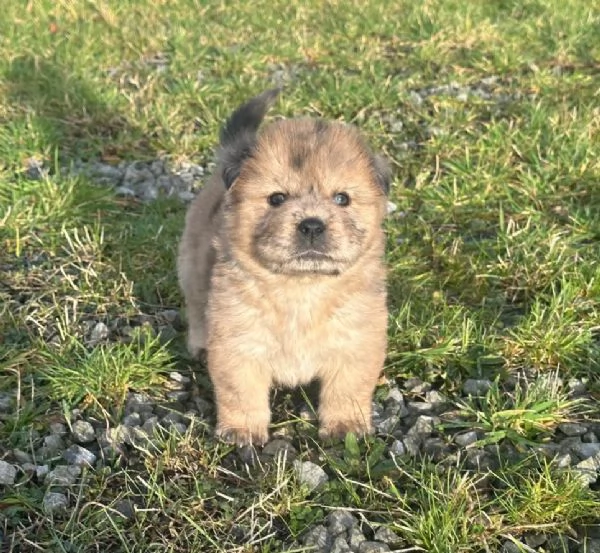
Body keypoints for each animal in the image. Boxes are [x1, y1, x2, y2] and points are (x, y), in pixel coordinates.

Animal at [176, 89, 392, 444]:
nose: (312, 225)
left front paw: (345, 425)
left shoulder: (356, 342)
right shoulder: (238, 344)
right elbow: (240, 393)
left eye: (342, 199)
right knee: (195, 307)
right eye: (277, 198)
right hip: (191, 266)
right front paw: (242, 430)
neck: (302, 288)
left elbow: (347, 389)